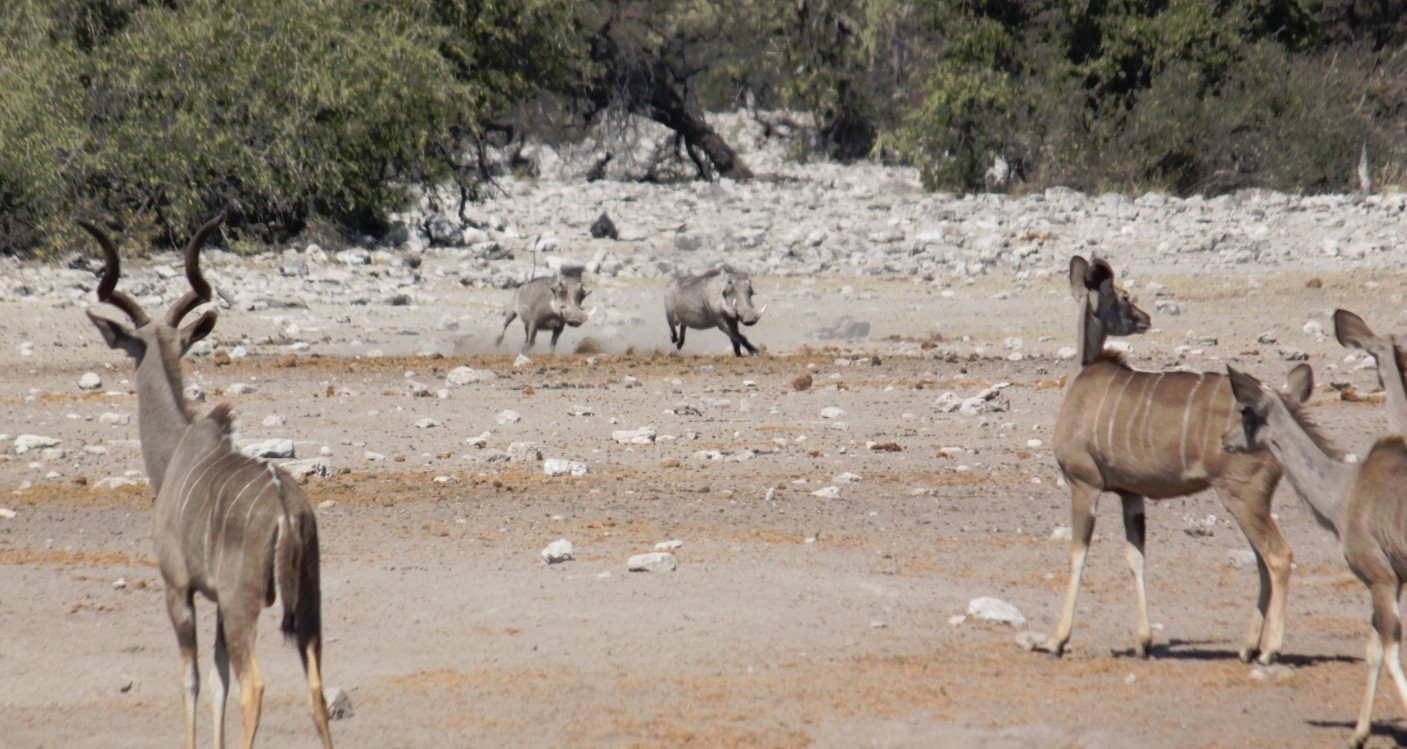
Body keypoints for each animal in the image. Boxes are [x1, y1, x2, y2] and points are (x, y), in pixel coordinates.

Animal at [81, 212, 332, 749]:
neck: (178, 449)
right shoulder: (215, 598)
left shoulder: (179, 587)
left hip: (244, 605)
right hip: (307, 605)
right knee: (317, 690)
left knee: (254, 685)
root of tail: (288, 511)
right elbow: (217, 679)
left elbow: (193, 678)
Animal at [1046, 256, 1288, 661]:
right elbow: (1136, 557)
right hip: (1250, 499)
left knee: (1278, 556)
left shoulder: (1085, 483)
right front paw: (1143, 642)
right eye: (1125, 296)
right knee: (1262, 560)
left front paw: (1055, 640)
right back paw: (1247, 648)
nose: (1144, 317)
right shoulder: (1130, 494)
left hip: (1243, 494)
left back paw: (1269, 650)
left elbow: (1078, 554)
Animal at [1221, 366, 1407, 749]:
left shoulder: (1381, 578)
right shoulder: (1390, 583)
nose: (1224, 438)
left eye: (1245, 410)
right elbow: (1374, 653)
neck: (1344, 491)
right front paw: (1358, 734)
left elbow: (1390, 653)